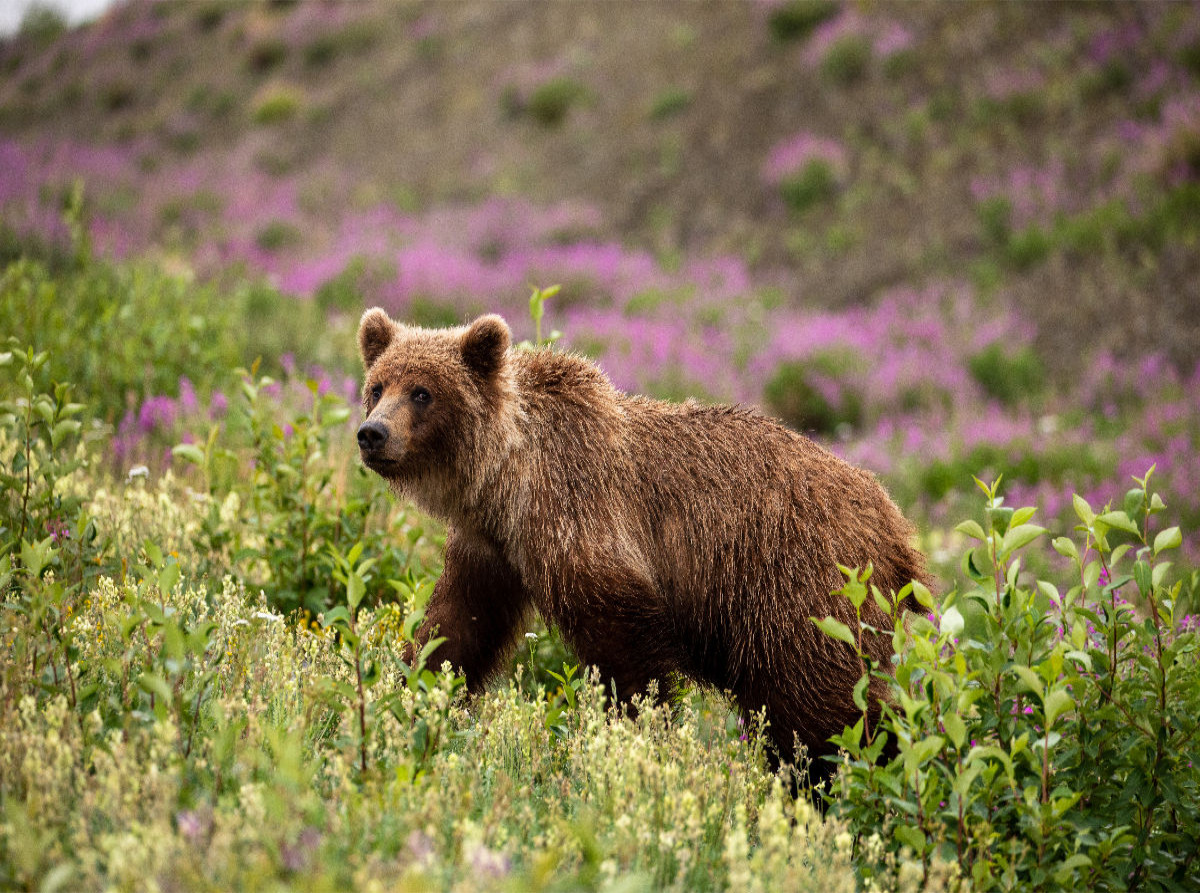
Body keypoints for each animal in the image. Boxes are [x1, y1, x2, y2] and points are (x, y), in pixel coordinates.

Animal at [350, 309, 931, 782]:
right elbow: (455, 630)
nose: (372, 433)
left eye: (423, 391)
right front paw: (405, 697)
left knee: (829, 707)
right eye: (377, 386)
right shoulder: (491, 548)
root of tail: (896, 524)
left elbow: (626, 649)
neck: (509, 476)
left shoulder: (578, 510)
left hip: (801, 586)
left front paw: (636, 738)